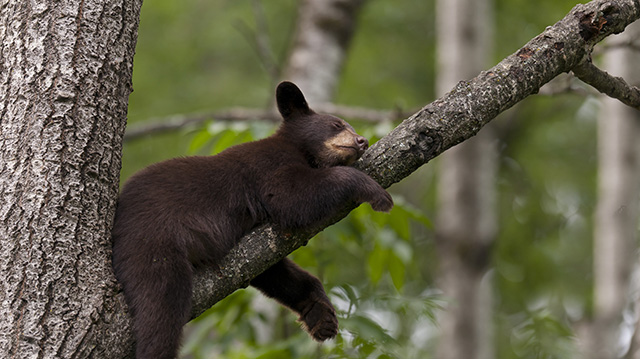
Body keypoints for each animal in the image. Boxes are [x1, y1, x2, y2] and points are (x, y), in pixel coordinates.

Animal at [112, 81, 392, 359]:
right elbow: (290, 197)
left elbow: (272, 270)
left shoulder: (254, 241)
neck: (301, 151)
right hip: (153, 243)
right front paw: (376, 192)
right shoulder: (267, 166)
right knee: (162, 306)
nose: (362, 140)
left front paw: (321, 316)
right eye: (336, 124)